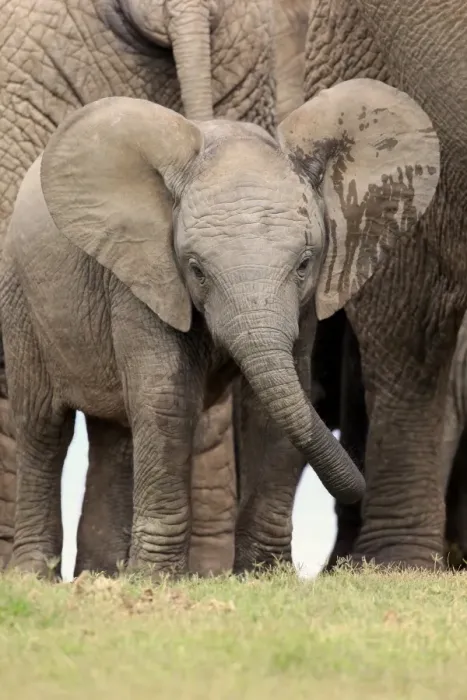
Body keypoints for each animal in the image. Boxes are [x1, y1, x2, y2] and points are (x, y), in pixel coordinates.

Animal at [0, 80, 439, 577]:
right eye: (196, 269)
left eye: (305, 264)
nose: (356, 488)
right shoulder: (142, 272)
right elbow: (166, 400)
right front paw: (156, 578)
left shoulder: (303, 306)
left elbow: (274, 406)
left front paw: (263, 576)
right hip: (20, 295)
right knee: (43, 428)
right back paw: (35, 575)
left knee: (116, 433)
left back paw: (103, 575)